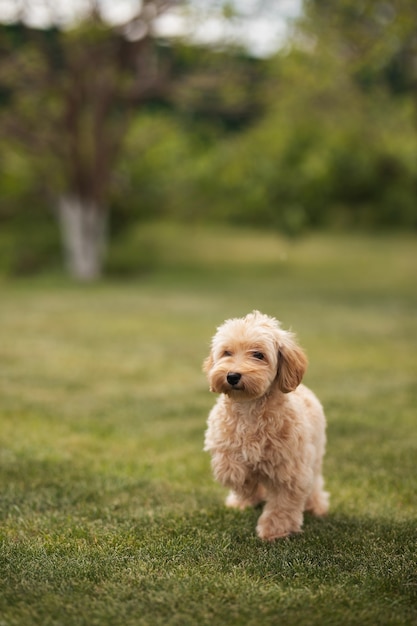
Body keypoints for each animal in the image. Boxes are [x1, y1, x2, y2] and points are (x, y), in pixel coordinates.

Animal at [204, 310, 328, 540]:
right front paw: (250, 492)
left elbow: (283, 503)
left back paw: (316, 506)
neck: (249, 408)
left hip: (314, 455)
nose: (232, 376)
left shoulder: (291, 470)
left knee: (315, 483)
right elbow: (234, 473)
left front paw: (274, 530)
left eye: (258, 355)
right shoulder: (223, 448)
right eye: (227, 353)